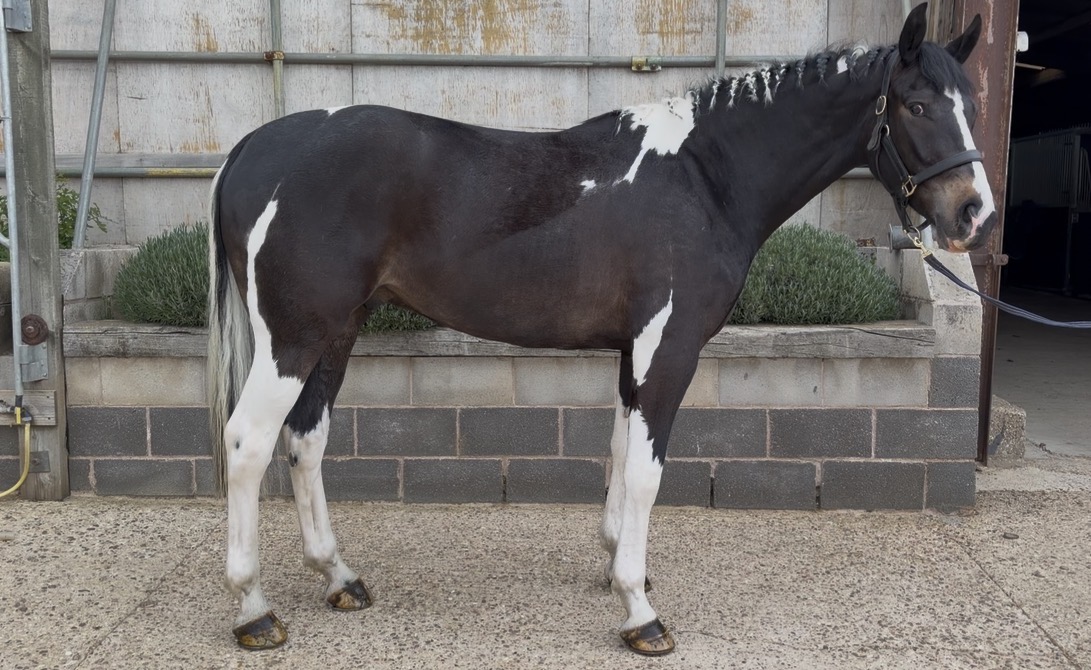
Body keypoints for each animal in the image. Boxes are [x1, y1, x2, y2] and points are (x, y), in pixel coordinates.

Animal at [208, 3, 995, 656]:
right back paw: (254, 610)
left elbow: (619, 454)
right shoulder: (668, 350)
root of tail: (252, 147)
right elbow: (646, 472)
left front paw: (620, 565)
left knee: (305, 439)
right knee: (248, 442)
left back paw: (339, 577)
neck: (702, 178)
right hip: (293, 338)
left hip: (335, 332)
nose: (972, 214)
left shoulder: (632, 352)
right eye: (917, 104)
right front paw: (639, 612)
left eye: (972, 105)